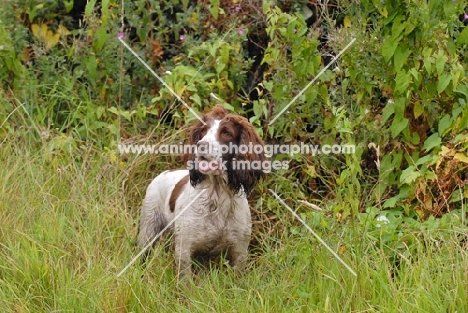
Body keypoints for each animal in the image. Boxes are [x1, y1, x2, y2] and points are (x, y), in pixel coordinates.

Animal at [137, 105, 266, 280]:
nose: (200, 144)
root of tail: (163, 172)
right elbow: (185, 279)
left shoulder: (240, 249)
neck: (217, 195)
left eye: (227, 133)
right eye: (203, 131)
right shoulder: (184, 247)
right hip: (149, 228)